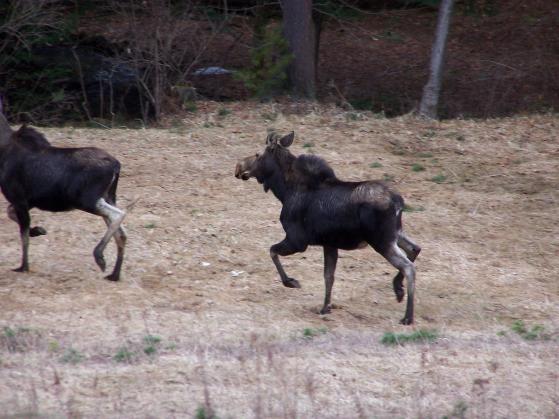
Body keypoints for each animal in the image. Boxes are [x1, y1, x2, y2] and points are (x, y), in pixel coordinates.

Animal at [0, 99, 127, 280]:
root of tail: (116, 165)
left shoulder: (19, 198)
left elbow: (23, 236)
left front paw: (23, 267)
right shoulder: (29, 200)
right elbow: (12, 216)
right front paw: (38, 230)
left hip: (86, 200)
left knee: (119, 215)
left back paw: (99, 256)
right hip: (108, 196)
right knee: (121, 232)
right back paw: (114, 274)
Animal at [234, 131, 422, 324]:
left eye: (258, 154)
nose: (238, 167)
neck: (284, 191)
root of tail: (399, 203)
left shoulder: (297, 241)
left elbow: (272, 251)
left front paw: (291, 282)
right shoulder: (329, 243)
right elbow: (328, 276)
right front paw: (326, 307)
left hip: (381, 240)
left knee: (409, 267)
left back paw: (408, 316)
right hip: (394, 234)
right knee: (415, 248)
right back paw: (398, 289)